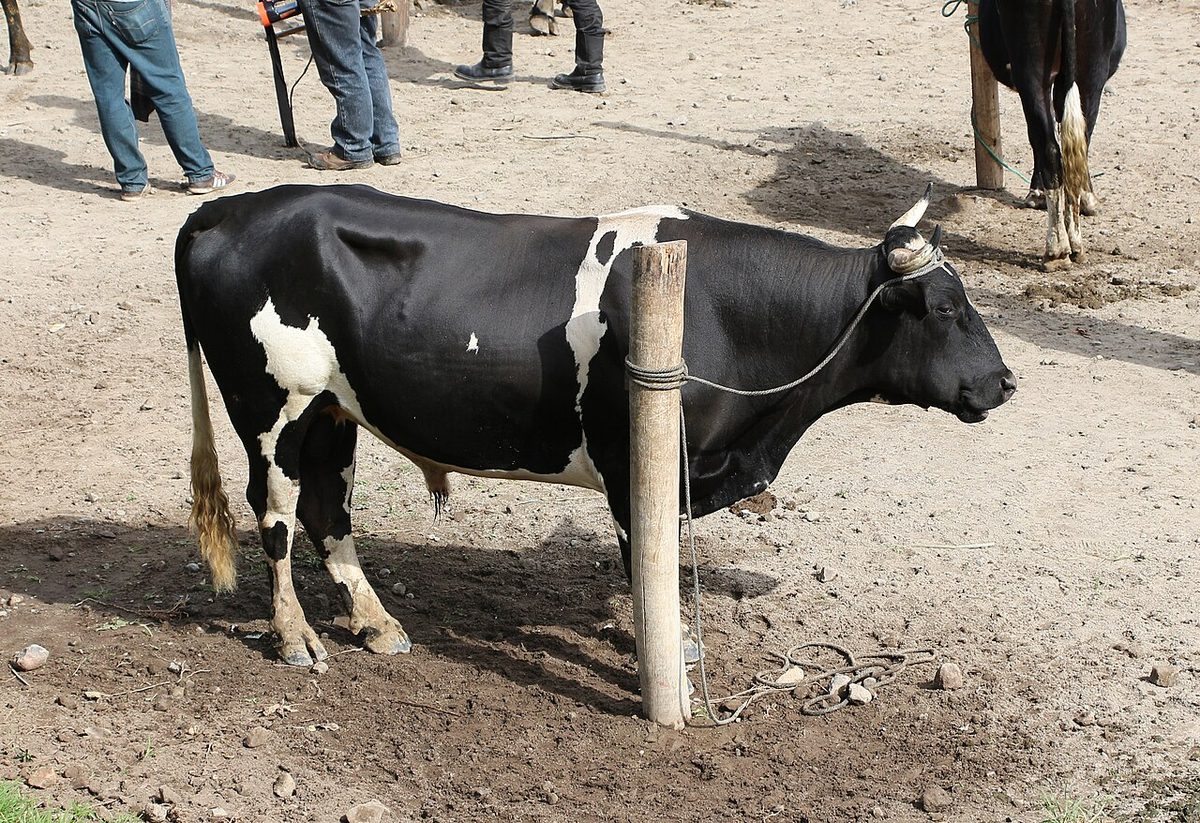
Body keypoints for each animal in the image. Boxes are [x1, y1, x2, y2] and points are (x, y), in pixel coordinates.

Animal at [175, 184, 1016, 667]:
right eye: (945, 307)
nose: (1005, 382)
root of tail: (226, 209)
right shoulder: (630, 457)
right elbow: (644, 558)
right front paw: (665, 647)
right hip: (270, 408)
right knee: (276, 517)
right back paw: (294, 637)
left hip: (332, 411)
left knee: (328, 510)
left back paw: (377, 623)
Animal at [977, 0, 1126, 268]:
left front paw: (1036, 194)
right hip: (1090, 69)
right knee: (1076, 144)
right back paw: (1074, 243)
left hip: (1032, 67)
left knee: (1048, 145)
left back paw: (1056, 249)